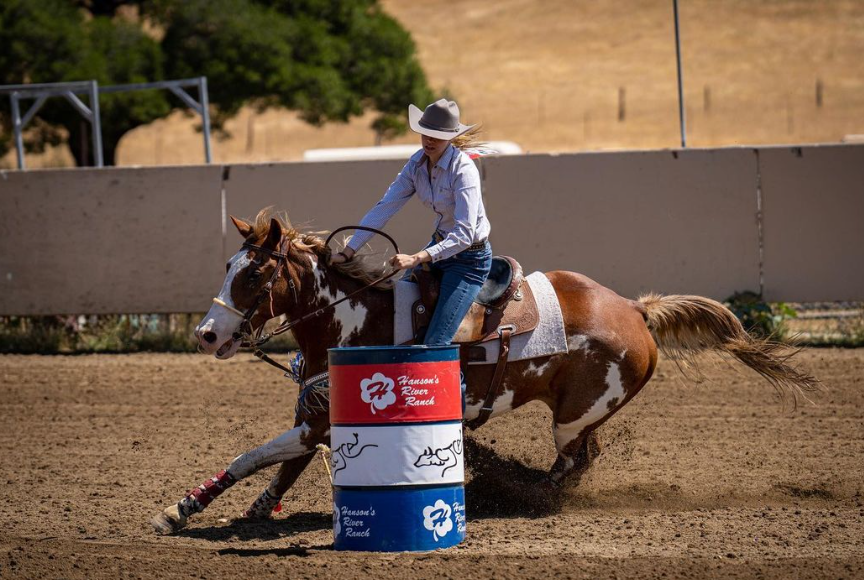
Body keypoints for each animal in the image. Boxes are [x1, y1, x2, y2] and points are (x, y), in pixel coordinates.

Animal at [148, 208, 816, 536]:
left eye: (256, 273)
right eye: (229, 265)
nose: (208, 334)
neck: (352, 316)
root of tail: (635, 309)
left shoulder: (321, 422)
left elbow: (255, 454)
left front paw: (182, 511)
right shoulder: (317, 416)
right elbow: (277, 466)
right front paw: (227, 511)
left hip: (575, 416)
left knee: (572, 462)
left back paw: (524, 497)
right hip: (583, 416)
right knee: (581, 460)